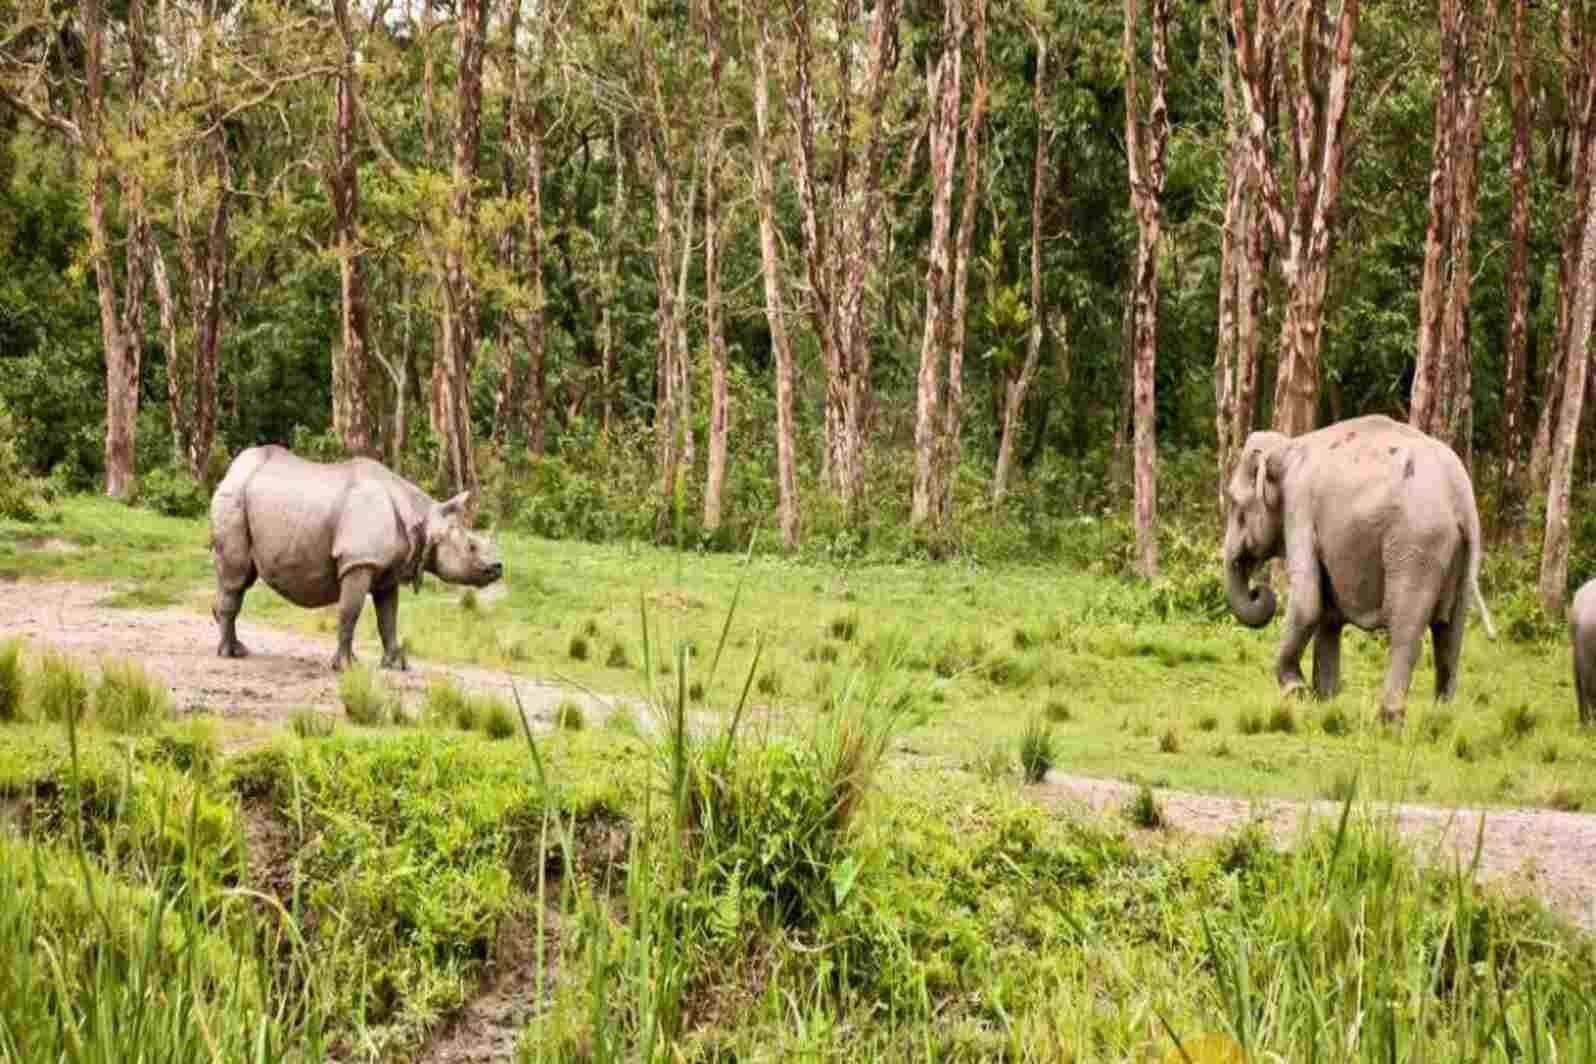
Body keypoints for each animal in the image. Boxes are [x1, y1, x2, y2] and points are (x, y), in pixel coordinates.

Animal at [209, 446, 501, 669]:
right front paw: (346, 666)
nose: (498, 567)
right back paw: (231, 654)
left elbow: (388, 617)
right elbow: (350, 612)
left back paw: (232, 645)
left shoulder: (387, 571)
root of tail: (231, 471)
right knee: (237, 577)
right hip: (233, 498)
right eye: (471, 547)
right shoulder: (359, 560)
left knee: (238, 578)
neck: (422, 519)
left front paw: (396, 664)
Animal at [1219, 411, 1493, 721]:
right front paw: (1325, 699)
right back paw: (1441, 716)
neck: (1288, 448)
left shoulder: (1299, 507)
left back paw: (1388, 718)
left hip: (1417, 545)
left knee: (1406, 629)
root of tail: (1462, 500)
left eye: (1234, 502)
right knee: (1451, 631)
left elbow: (1308, 602)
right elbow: (1328, 614)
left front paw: (1295, 691)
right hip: (1461, 555)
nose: (1258, 591)